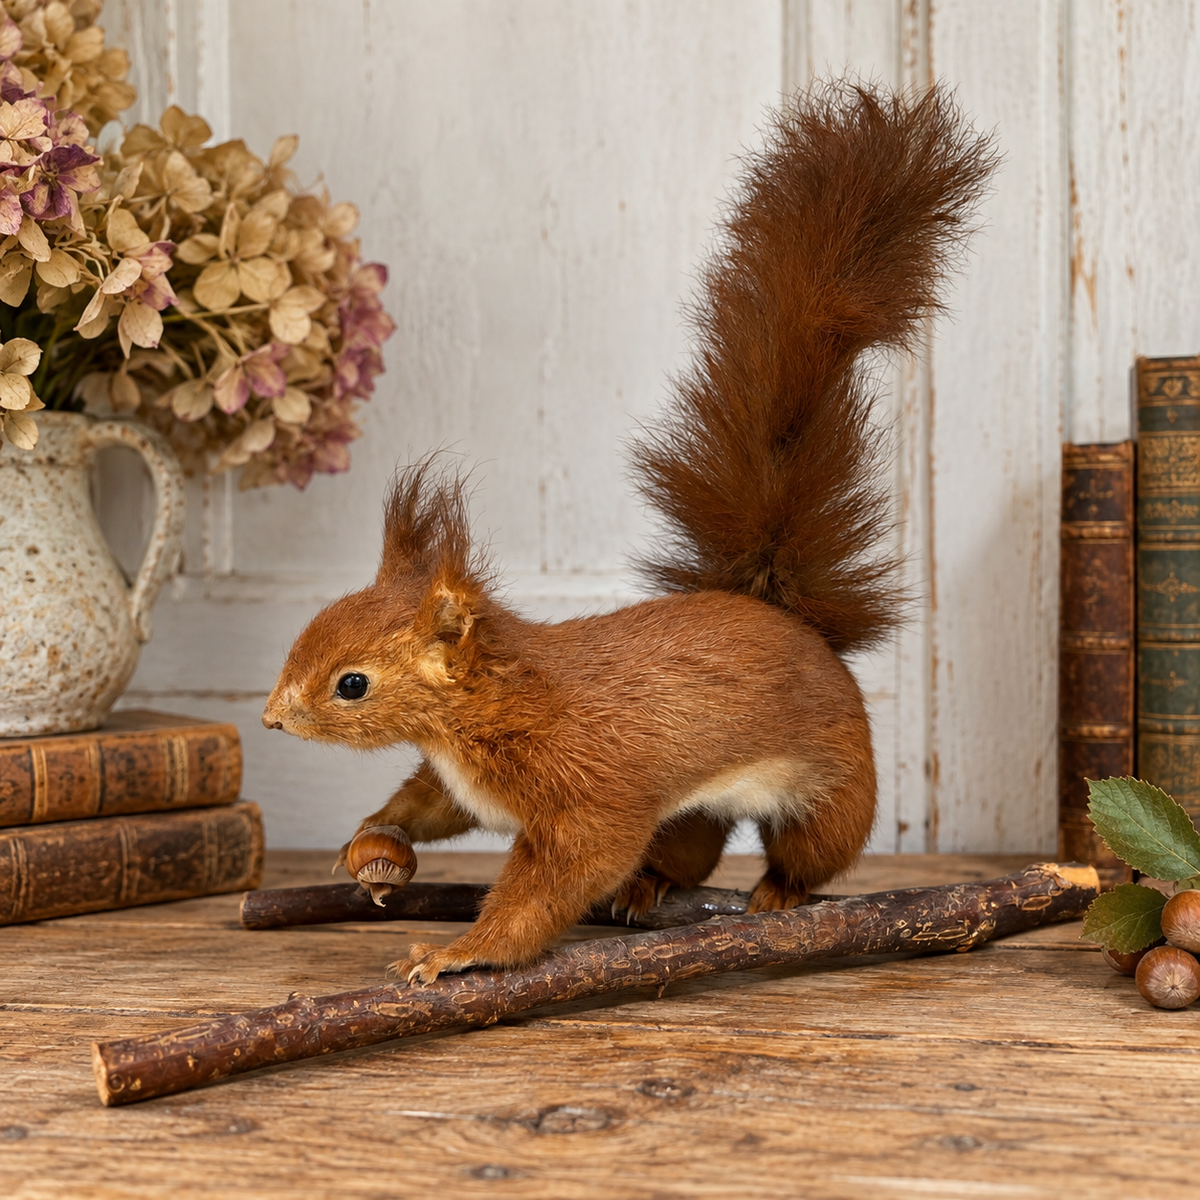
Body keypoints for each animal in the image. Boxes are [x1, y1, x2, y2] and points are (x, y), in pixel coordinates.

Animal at [262, 82, 996, 984]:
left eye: (352, 684)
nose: (272, 718)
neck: (487, 708)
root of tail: (787, 615)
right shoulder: (461, 785)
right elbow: (425, 806)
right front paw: (374, 841)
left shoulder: (587, 778)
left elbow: (570, 867)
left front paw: (460, 954)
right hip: (690, 812)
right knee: (686, 845)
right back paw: (649, 889)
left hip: (833, 781)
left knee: (814, 848)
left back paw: (776, 898)